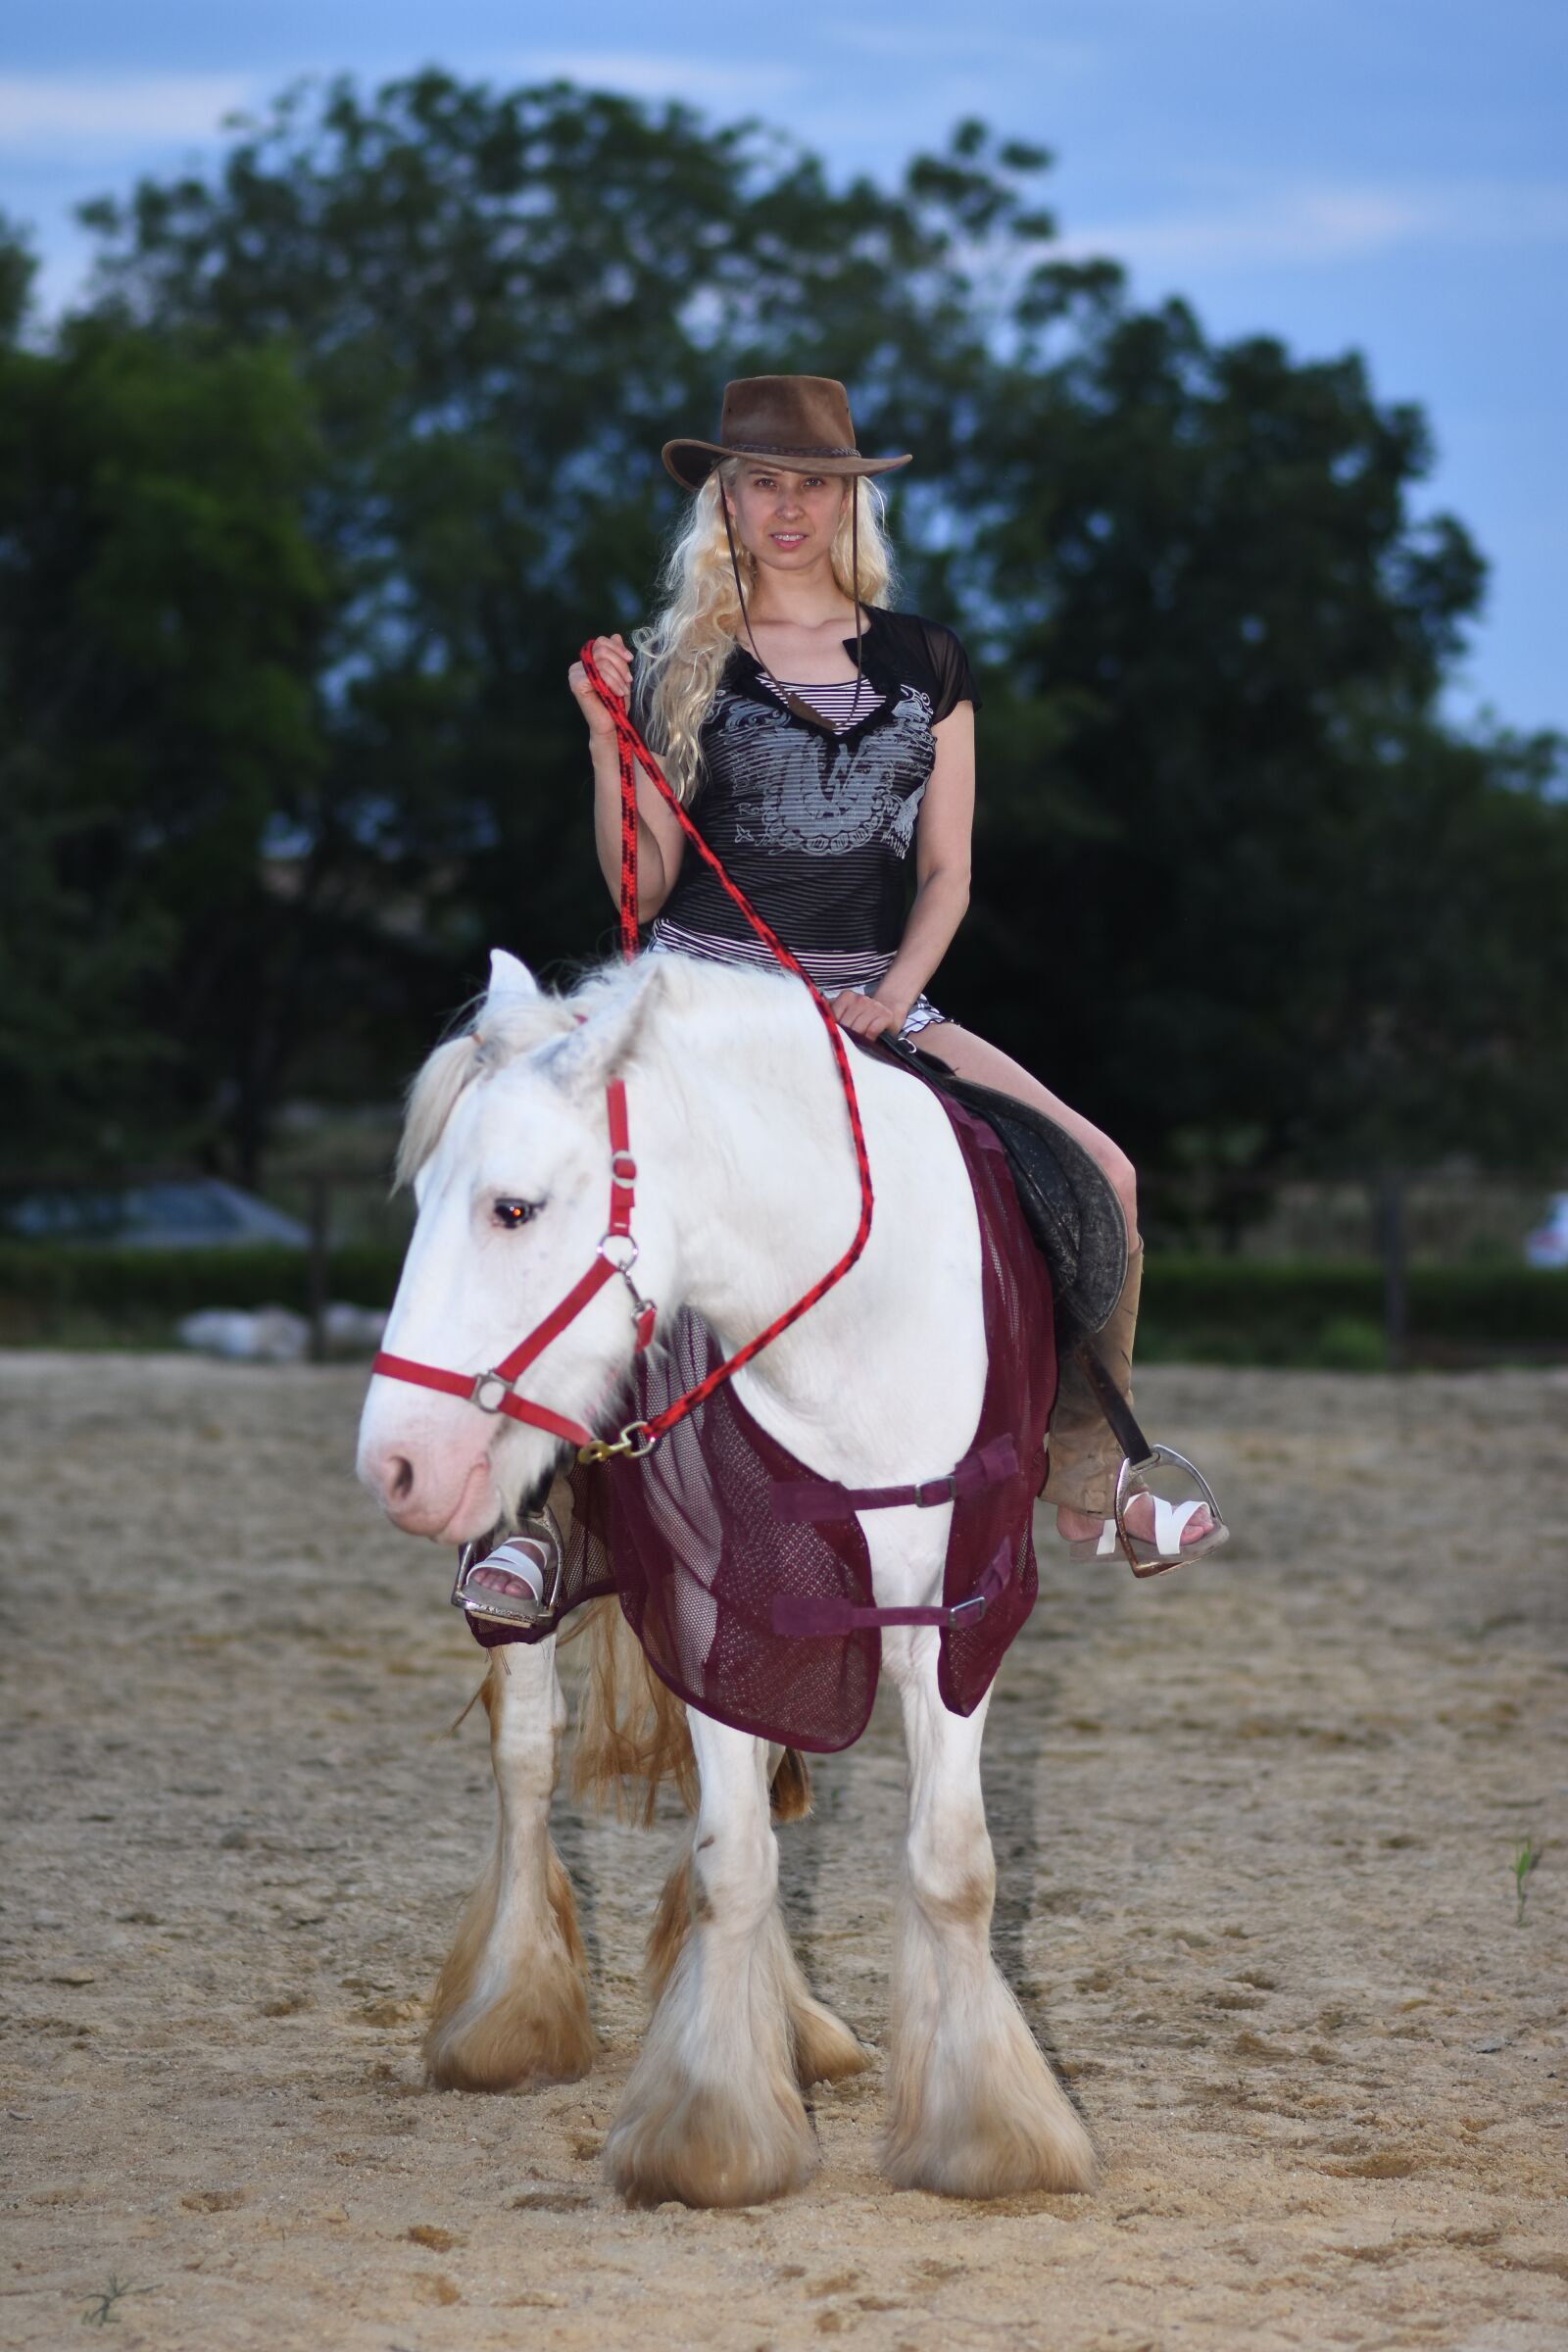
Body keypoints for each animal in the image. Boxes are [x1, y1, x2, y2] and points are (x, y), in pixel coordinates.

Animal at [357, 945, 1097, 2207]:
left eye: (513, 1207)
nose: (397, 1461)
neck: (851, 1329)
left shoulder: (957, 1615)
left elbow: (951, 1865)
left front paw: (988, 2134)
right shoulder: (720, 1609)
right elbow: (734, 1864)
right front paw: (712, 2131)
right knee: (527, 1761)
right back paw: (508, 2018)